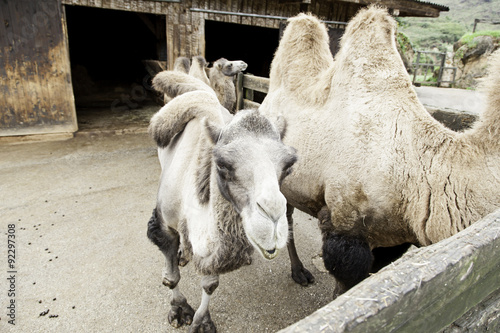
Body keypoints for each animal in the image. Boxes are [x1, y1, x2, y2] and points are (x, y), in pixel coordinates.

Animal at [148, 71, 296, 330]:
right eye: (223, 164)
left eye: (289, 165)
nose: (273, 222)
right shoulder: (163, 224)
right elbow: (170, 278)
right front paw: (178, 310)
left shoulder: (213, 249)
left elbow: (210, 283)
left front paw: (202, 322)